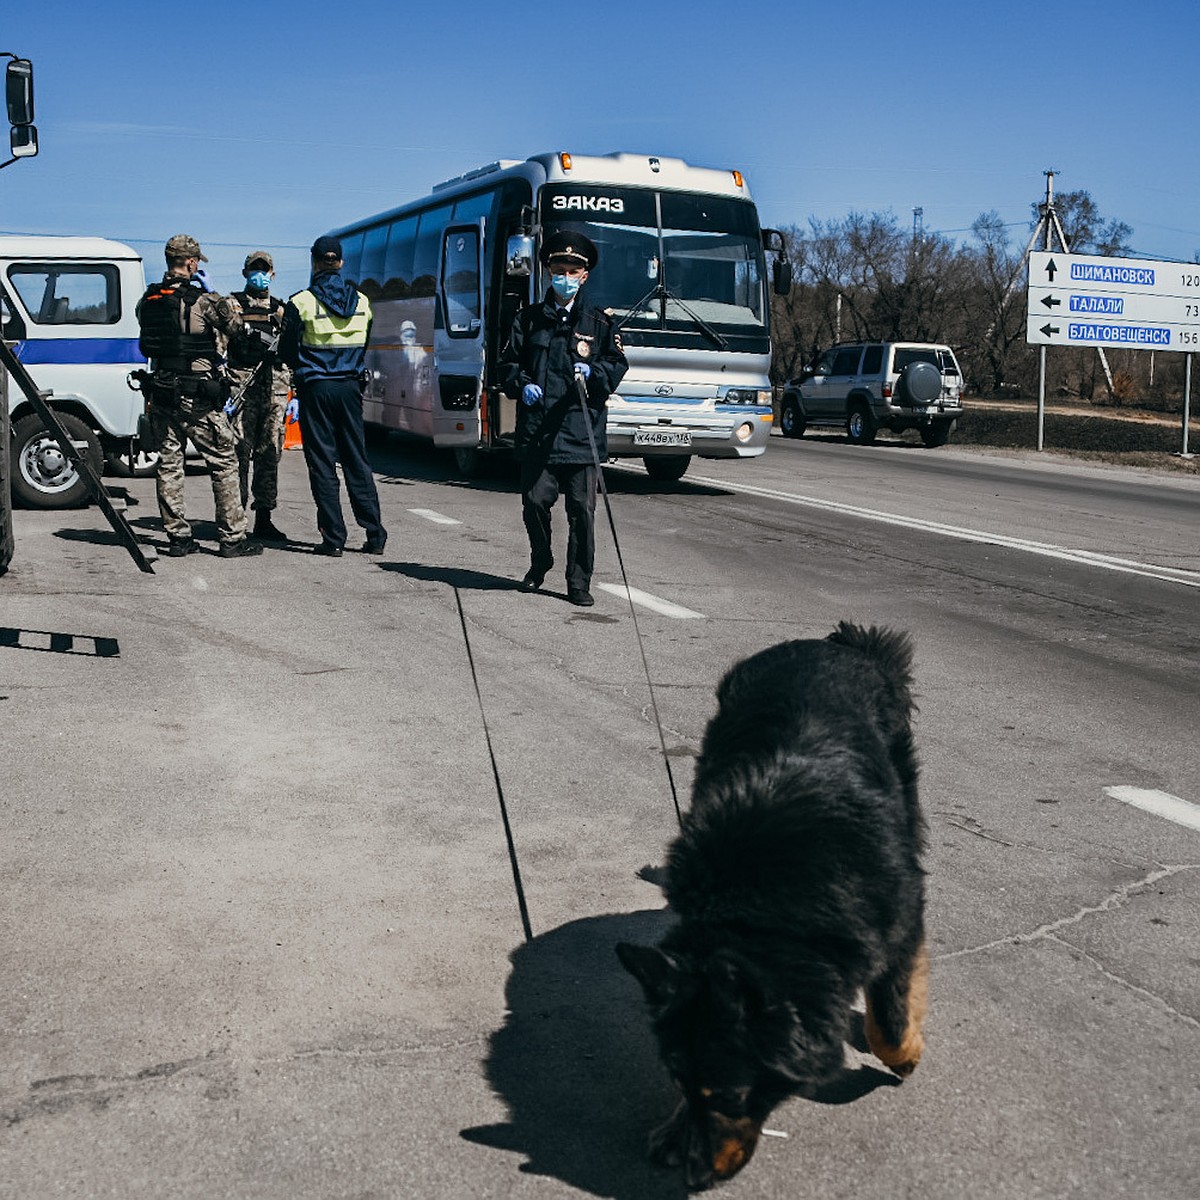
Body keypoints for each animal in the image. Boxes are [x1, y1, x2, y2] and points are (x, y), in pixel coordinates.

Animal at [619, 624, 926, 1185]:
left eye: (732, 1095)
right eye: (677, 1081)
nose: (697, 1175)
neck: (762, 914)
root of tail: (834, 645)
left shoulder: (899, 915)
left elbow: (891, 1012)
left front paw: (904, 1053)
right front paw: (676, 1131)